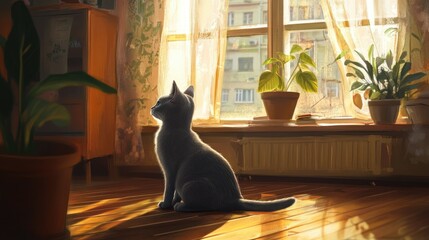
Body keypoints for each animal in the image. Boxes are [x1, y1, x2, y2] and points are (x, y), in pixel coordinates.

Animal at [150, 82, 294, 212]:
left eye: (158, 102)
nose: (152, 107)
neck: (177, 129)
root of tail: (236, 199)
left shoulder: (170, 171)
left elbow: (169, 190)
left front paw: (166, 204)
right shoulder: (174, 175)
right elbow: (175, 193)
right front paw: (172, 202)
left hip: (189, 185)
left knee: (204, 207)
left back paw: (181, 206)